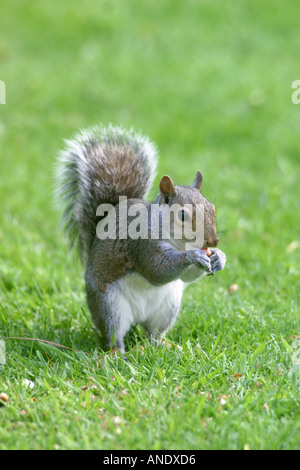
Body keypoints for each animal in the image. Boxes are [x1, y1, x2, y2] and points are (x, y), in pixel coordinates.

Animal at [55, 125, 225, 352]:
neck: (179, 243)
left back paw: (166, 345)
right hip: (109, 306)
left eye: (212, 208)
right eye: (182, 215)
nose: (213, 242)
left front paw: (219, 257)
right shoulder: (141, 243)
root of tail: (138, 317)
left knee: (153, 334)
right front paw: (193, 255)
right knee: (113, 335)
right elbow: (156, 270)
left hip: (167, 307)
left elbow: (186, 276)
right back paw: (117, 353)